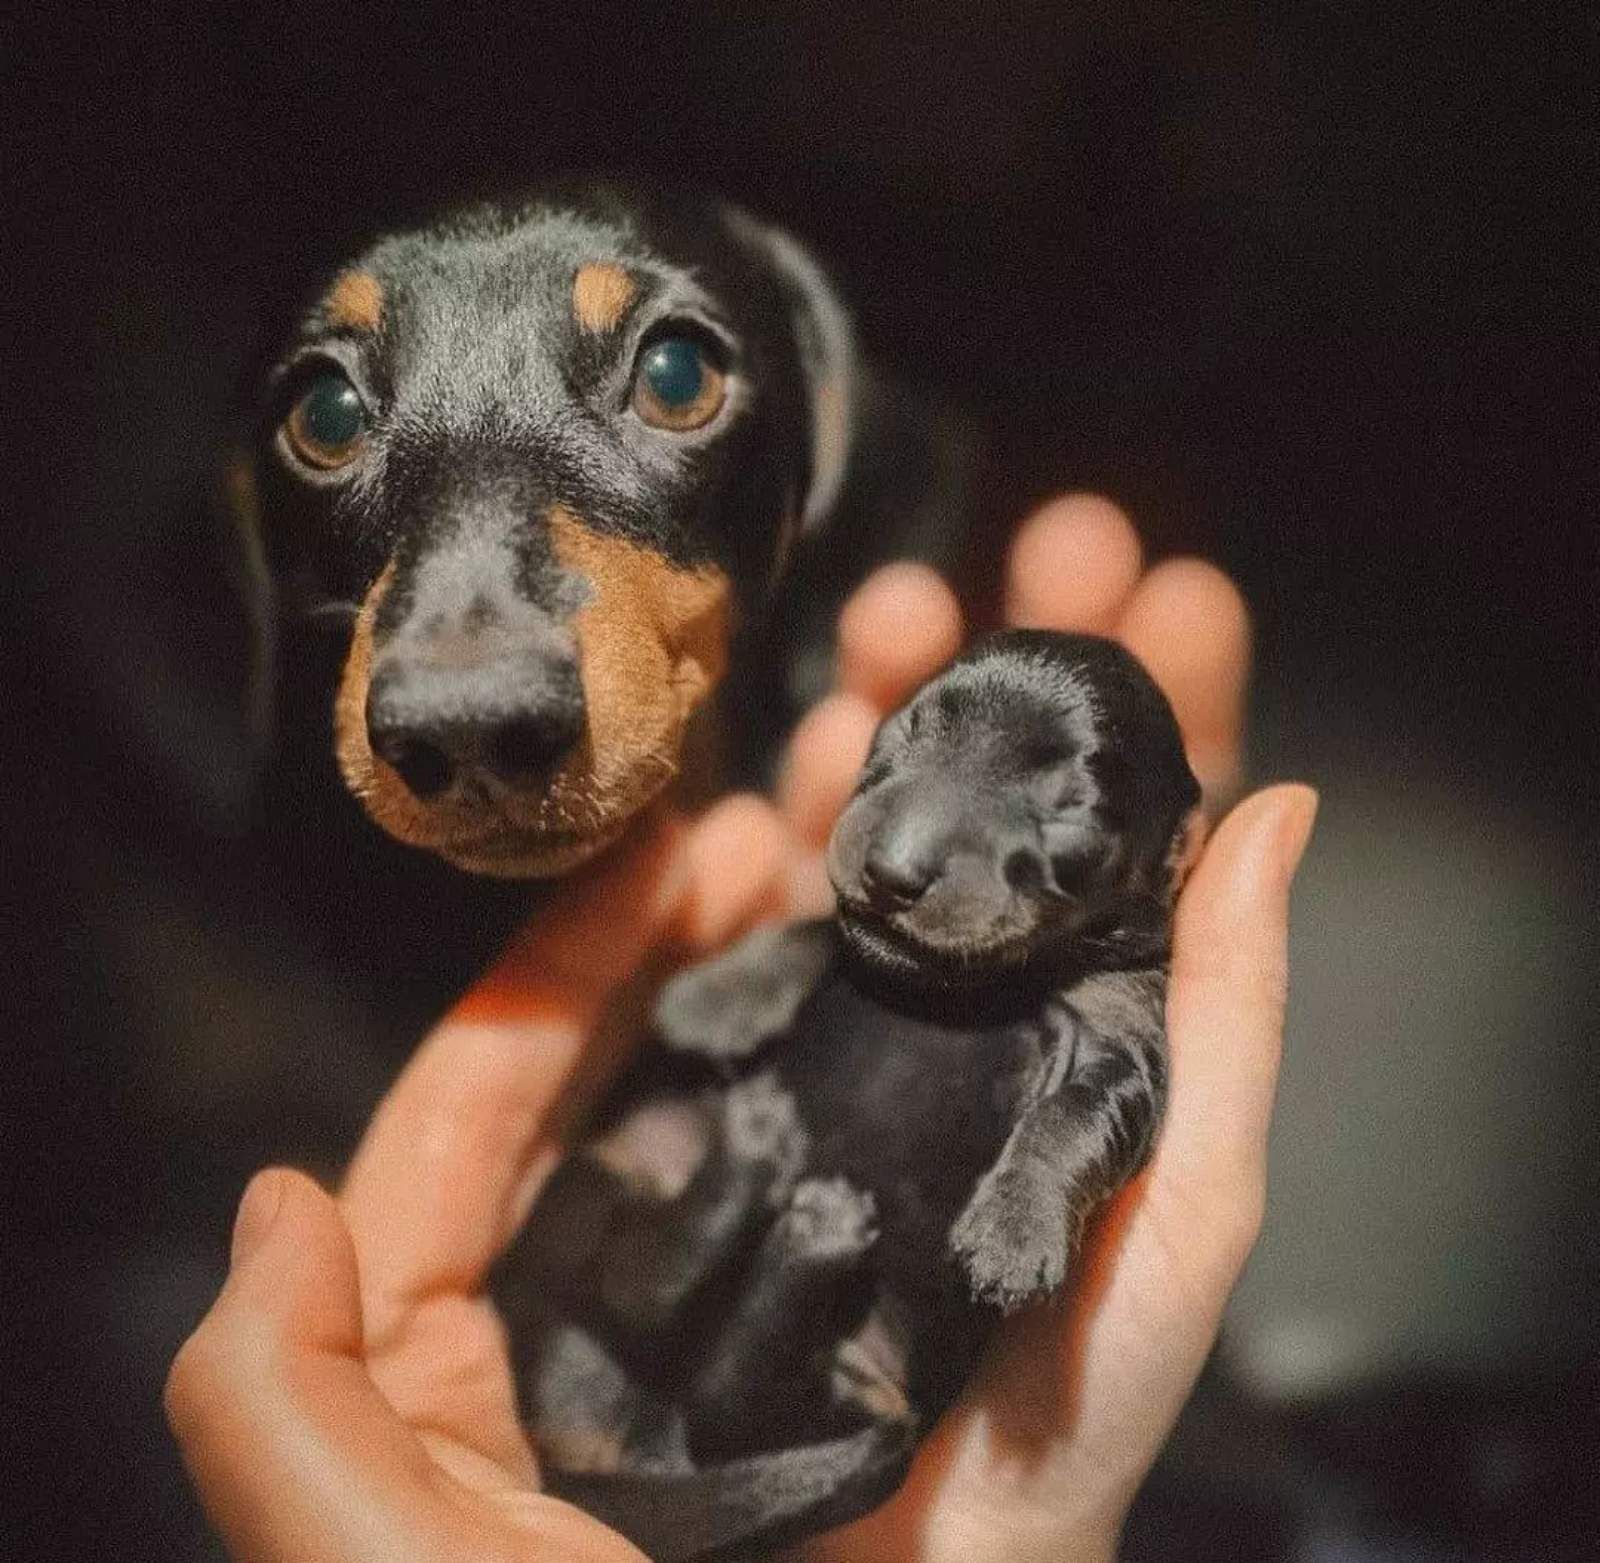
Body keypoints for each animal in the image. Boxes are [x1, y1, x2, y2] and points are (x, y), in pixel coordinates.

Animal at [496, 627, 1203, 1555]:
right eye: (909, 727)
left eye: (1071, 805)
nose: (893, 870)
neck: (965, 989)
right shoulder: (860, 942)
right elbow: (820, 931)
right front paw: (716, 995)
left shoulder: (1125, 1040)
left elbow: (1079, 1114)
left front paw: (1014, 1232)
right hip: (608, 1173)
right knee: (650, 1300)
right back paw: (773, 1171)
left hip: (854, 1386)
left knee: (715, 1371)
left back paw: (805, 1215)